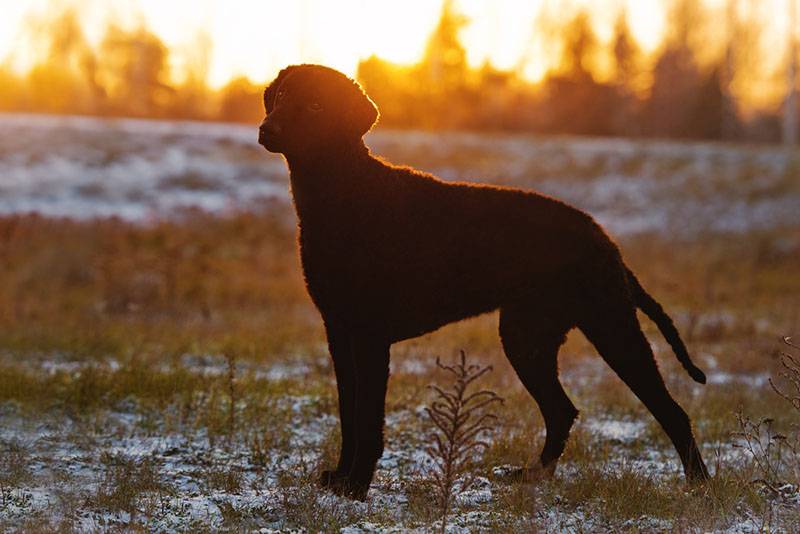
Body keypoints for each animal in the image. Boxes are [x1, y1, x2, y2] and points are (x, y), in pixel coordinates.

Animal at [256, 63, 708, 502]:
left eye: (316, 105)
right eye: (281, 95)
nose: (266, 129)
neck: (346, 191)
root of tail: (604, 238)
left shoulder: (369, 334)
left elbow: (367, 420)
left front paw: (356, 488)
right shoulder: (339, 329)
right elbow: (348, 414)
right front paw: (339, 480)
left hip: (609, 326)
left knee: (672, 412)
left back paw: (699, 486)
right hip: (528, 336)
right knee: (562, 410)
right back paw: (532, 477)